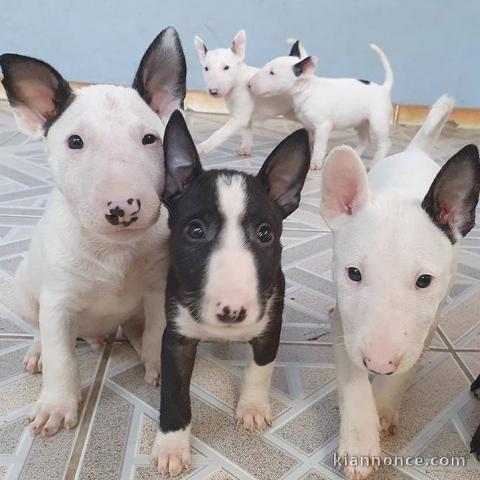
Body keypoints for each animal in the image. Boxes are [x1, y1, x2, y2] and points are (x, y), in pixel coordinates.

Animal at [0, 27, 187, 438]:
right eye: (75, 142)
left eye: (150, 139)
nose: (124, 207)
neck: (112, 251)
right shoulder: (57, 302)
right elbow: (61, 358)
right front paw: (56, 406)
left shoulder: (157, 290)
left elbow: (158, 330)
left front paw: (157, 365)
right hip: (23, 292)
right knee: (38, 330)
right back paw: (36, 352)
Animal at [153, 110, 312, 474]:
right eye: (195, 230)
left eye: (265, 233)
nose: (232, 312)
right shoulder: (176, 336)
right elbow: (174, 392)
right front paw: (171, 446)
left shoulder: (271, 323)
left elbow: (261, 367)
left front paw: (252, 408)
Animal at [248, 43, 394, 171]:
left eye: (272, 73)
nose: (249, 84)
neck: (306, 90)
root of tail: (384, 88)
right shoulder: (310, 128)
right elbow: (311, 143)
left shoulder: (323, 126)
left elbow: (319, 146)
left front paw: (315, 164)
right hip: (361, 122)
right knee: (365, 140)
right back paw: (353, 154)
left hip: (378, 120)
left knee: (385, 143)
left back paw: (375, 163)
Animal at [318, 94, 480, 480]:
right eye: (354, 273)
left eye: (424, 281)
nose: (379, 363)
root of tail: (415, 151)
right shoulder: (345, 324)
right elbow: (353, 377)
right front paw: (360, 442)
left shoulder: (429, 323)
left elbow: (404, 370)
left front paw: (383, 406)